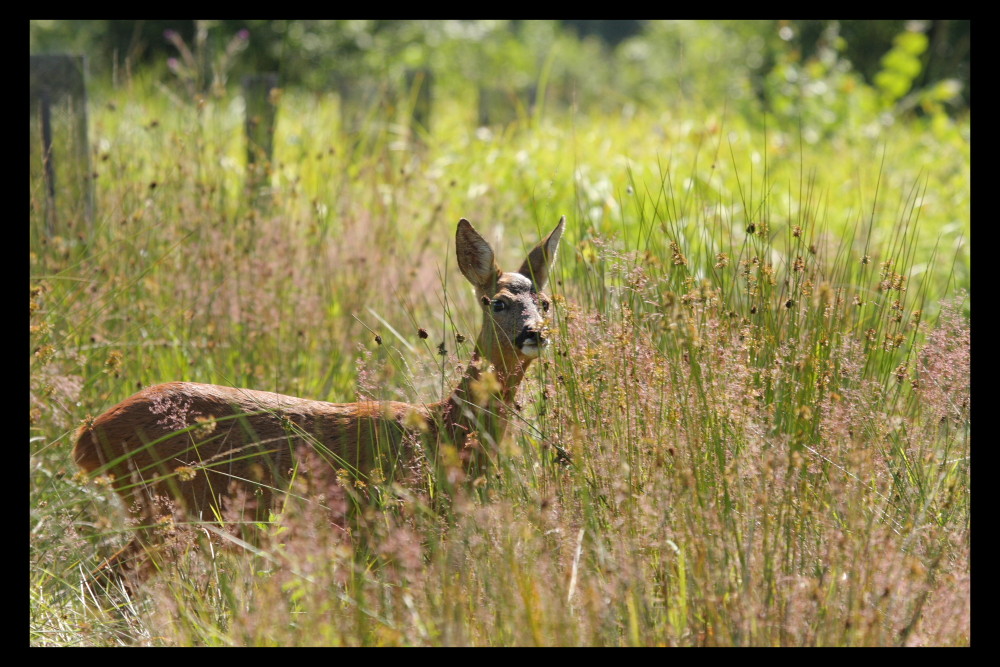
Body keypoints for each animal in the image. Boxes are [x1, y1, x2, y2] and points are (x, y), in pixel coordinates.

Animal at [74, 217, 568, 588]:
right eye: (497, 302)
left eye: (545, 302)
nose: (534, 334)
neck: (441, 430)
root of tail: (90, 434)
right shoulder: (384, 527)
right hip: (166, 505)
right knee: (104, 582)